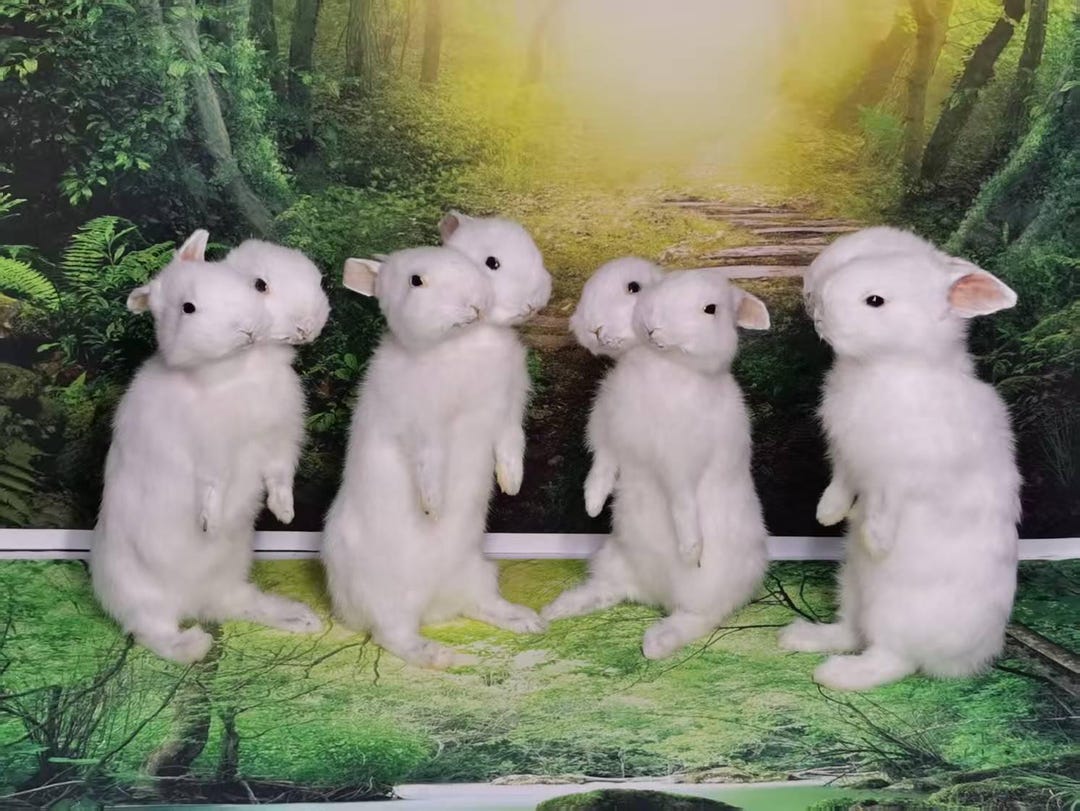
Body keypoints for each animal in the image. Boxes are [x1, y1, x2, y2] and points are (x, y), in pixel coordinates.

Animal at [91, 231, 323, 665]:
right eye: (188, 308)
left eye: (245, 286)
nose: (308, 325)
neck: (242, 370)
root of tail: (192, 601)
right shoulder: (210, 452)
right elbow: (212, 487)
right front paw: (209, 525)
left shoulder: (279, 439)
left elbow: (280, 474)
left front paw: (284, 512)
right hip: (138, 591)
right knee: (150, 630)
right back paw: (192, 645)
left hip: (232, 573)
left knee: (236, 603)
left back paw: (299, 618)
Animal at [322, 246, 545, 670]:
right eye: (416, 281)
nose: (474, 304)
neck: (459, 344)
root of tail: (434, 609)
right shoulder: (422, 426)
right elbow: (429, 463)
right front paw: (433, 508)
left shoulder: (507, 411)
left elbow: (511, 442)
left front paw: (511, 482)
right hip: (386, 596)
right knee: (392, 636)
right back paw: (439, 655)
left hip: (478, 572)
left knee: (480, 604)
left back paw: (525, 620)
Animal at [544, 269, 771, 660]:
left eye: (711, 309)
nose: (653, 327)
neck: (661, 365)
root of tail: (654, 594)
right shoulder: (608, 433)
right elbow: (602, 468)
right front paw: (592, 504)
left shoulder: (682, 463)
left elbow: (682, 502)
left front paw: (690, 549)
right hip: (611, 558)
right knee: (608, 590)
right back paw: (558, 608)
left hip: (707, 590)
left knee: (701, 618)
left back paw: (656, 642)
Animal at [778, 237, 1021, 691]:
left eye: (875, 300)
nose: (818, 308)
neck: (885, 367)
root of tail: (962, 660)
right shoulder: (845, 454)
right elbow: (841, 482)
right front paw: (827, 514)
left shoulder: (904, 473)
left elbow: (886, 502)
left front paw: (877, 540)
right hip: (850, 584)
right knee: (851, 632)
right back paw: (801, 637)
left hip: (894, 614)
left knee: (892, 659)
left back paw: (836, 675)